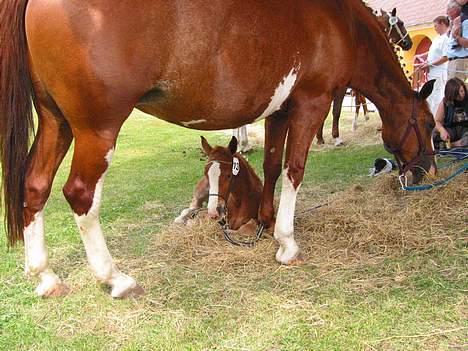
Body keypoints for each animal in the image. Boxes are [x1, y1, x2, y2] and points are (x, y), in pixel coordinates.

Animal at [314, 7, 414, 146]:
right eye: (401, 23)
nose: (409, 43)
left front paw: (320, 137)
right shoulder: (341, 88)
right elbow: (336, 110)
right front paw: (336, 137)